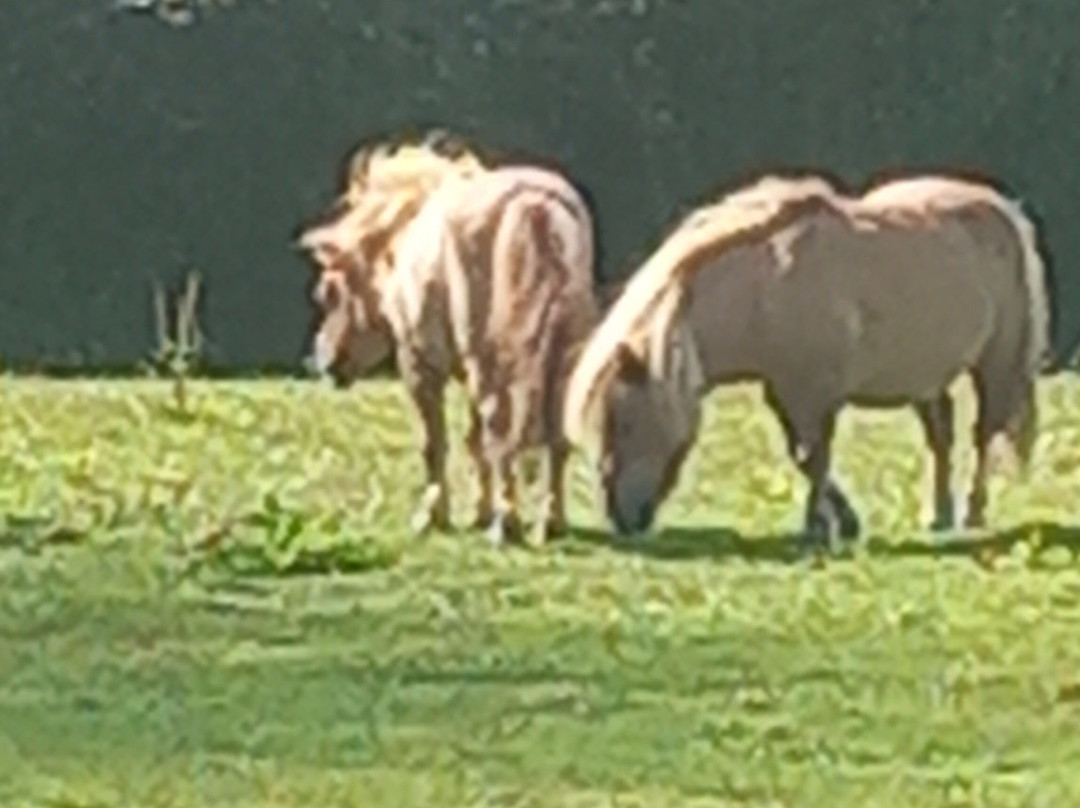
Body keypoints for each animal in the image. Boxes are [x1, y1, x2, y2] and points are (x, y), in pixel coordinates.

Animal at [296, 131, 600, 545]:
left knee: (501, 426)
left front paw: (433, 515)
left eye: (326, 293)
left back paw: (506, 523)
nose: (322, 360)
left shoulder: (419, 363)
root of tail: (534, 207)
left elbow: (435, 442)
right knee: (552, 437)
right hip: (561, 357)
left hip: (490, 362)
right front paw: (478, 512)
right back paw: (551, 520)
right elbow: (474, 442)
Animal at [562, 171, 1051, 550]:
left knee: (984, 435)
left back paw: (972, 513)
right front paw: (844, 523)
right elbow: (805, 458)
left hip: (995, 366)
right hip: (926, 378)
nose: (621, 518)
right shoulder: (787, 393)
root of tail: (1001, 208)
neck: (768, 284)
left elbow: (814, 456)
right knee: (941, 437)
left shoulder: (816, 394)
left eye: (625, 422)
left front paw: (818, 528)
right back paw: (940, 515)